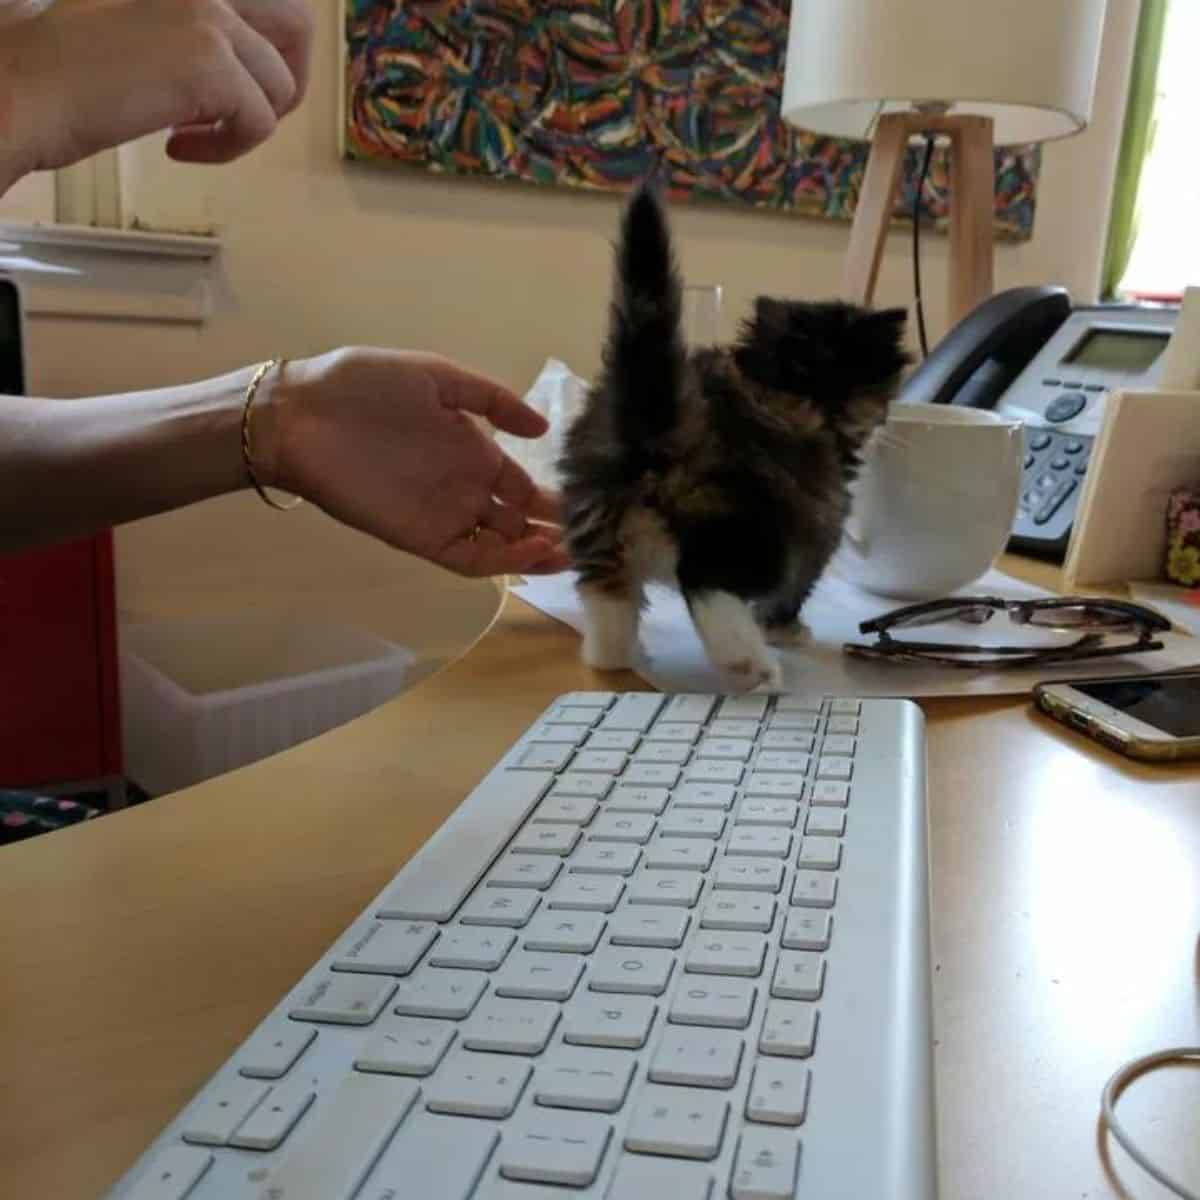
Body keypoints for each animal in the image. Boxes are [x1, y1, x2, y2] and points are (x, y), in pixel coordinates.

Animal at [559, 182, 907, 691]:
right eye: (805, 374)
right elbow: (794, 590)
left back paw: (621, 656)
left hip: (595, 515)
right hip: (747, 526)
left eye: (849, 375)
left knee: (608, 599)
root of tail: (653, 429)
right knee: (705, 582)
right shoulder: (820, 526)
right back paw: (751, 665)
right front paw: (786, 631)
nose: (833, 405)